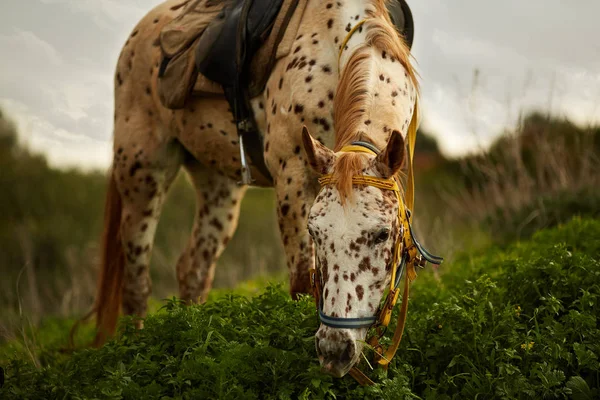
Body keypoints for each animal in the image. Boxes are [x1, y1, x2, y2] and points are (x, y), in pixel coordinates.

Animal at [85, 0, 440, 384]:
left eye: (382, 234)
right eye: (315, 232)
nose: (334, 350)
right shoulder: (292, 176)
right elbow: (301, 282)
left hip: (217, 185)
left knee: (193, 269)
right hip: (142, 173)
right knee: (136, 279)